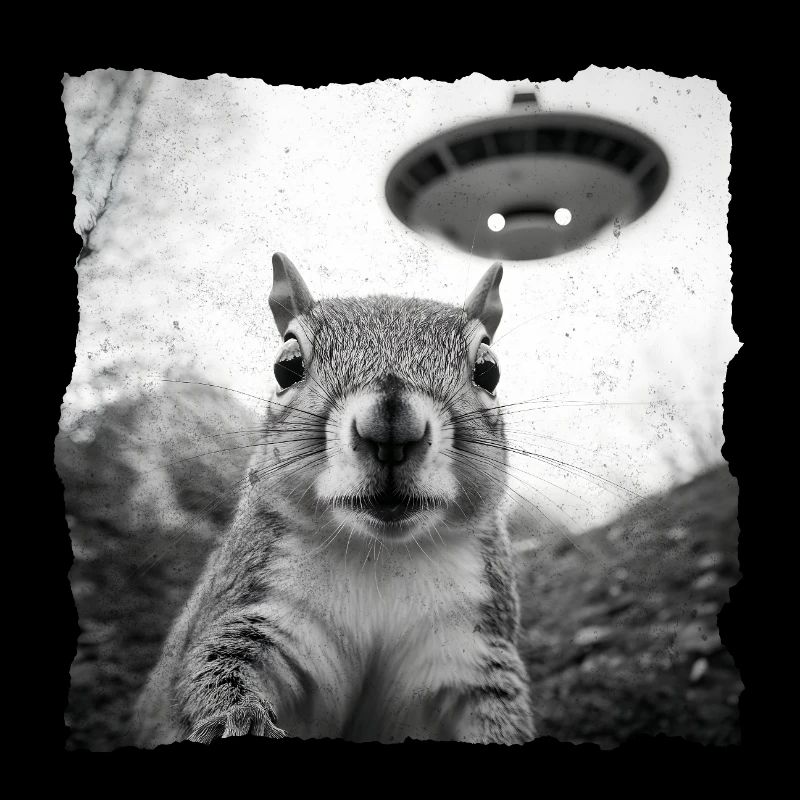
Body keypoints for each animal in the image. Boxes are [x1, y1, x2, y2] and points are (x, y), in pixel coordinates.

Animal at [133, 252, 535, 746]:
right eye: (286, 366)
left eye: (488, 370)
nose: (391, 426)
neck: (382, 555)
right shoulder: (260, 608)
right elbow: (217, 666)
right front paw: (239, 720)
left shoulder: (470, 650)